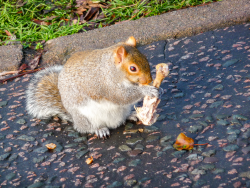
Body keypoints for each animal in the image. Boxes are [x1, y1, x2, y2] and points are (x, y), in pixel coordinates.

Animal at [25, 36, 158, 138]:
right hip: (86, 117)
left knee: (122, 119)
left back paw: (131, 115)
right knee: (87, 128)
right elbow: (122, 97)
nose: (149, 80)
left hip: (123, 110)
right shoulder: (105, 84)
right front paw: (147, 90)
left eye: (145, 58)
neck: (111, 69)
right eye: (133, 68)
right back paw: (100, 130)